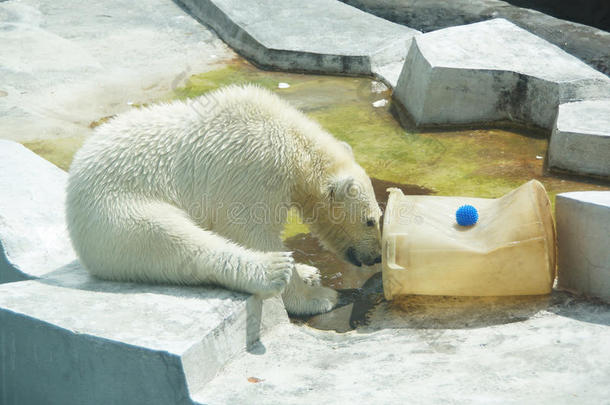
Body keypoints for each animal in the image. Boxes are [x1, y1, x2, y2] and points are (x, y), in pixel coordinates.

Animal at [67, 83, 380, 314]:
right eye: (370, 221)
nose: (376, 256)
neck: (294, 141)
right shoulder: (256, 171)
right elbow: (251, 232)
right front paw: (316, 297)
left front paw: (306, 273)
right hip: (118, 210)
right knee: (173, 239)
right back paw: (274, 270)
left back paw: (306, 269)